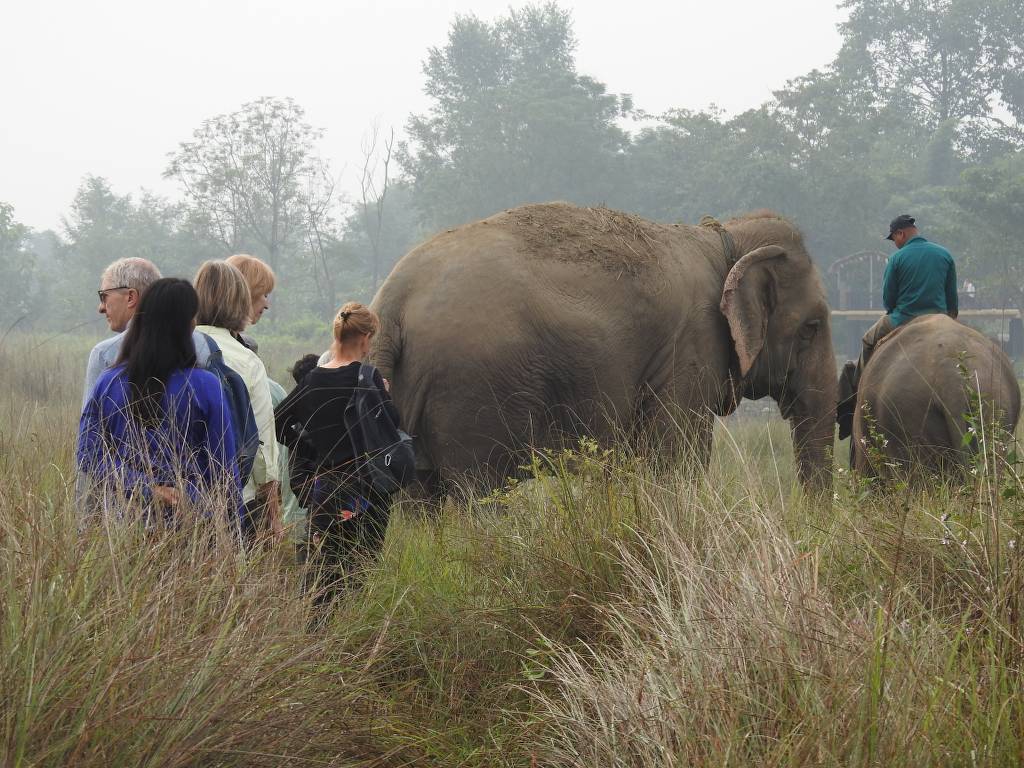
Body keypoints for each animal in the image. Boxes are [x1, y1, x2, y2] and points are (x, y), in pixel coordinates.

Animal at [370, 202, 838, 493]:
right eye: (812, 327)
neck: (724, 239)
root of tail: (390, 303)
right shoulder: (692, 347)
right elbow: (675, 460)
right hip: (473, 391)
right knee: (478, 492)